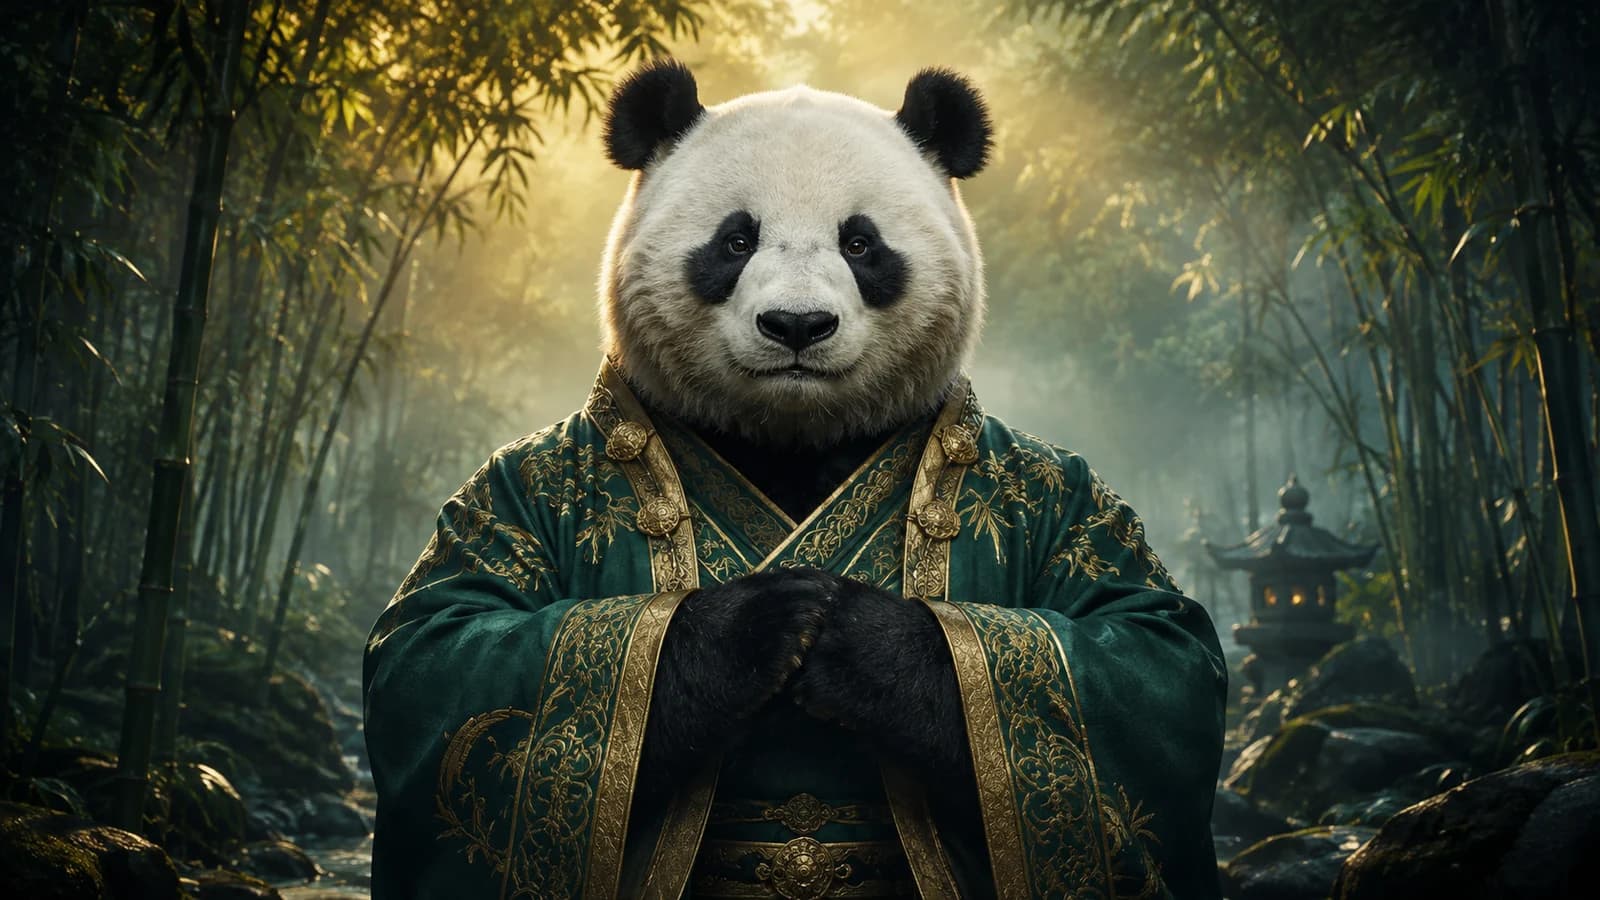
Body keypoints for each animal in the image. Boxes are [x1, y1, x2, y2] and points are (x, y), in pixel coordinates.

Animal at [365, 58, 1225, 900]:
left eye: (861, 244)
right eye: (737, 239)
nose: (798, 326)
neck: (792, 437)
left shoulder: (1055, 489)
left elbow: (1148, 647)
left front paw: (852, 638)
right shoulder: (518, 486)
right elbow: (444, 641)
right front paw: (768, 622)